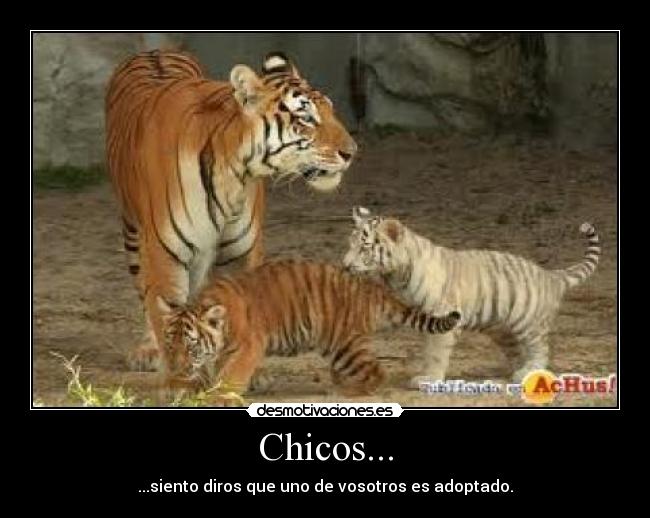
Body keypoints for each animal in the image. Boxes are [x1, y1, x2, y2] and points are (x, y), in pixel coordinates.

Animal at [105, 50, 357, 374]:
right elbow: (166, 317)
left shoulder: (240, 253)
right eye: (306, 118)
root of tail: (155, 51)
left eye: (331, 111)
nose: (351, 152)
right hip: (134, 236)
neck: (234, 173)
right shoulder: (165, 255)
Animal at [156, 259, 461, 402]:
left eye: (191, 346)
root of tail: (368, 287)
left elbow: (231, 376)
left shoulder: (248, 346)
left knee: (377, 373)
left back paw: (342, 392)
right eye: (170, 345)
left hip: (342, 344)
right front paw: (182, 387)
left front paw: (218, 398)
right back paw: (337, 383)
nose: (177, 369)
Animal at [342, 206, 601, 386]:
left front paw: (430, 379)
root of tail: (551, 275)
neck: (397, 274)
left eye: (364, 247)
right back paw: (508, 370)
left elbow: (435, 353)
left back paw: (528, 372)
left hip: (529, 323)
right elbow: (427, 351)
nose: (344, 265)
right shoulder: (427, 319)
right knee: (517, 351)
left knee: (541, 348)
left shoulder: (443, 317)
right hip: (502, 330)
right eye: (350, 244)